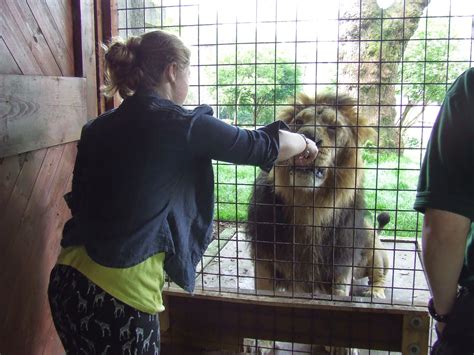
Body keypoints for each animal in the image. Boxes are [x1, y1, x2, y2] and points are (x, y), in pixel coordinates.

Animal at [244, 93, 388, 298]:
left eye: (333, 127)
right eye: (298, 122)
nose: (308, 137)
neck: (308, 205)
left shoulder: (341, 267)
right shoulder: (264, 262)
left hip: (372, 242)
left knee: (379, 276)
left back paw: (375, 292)